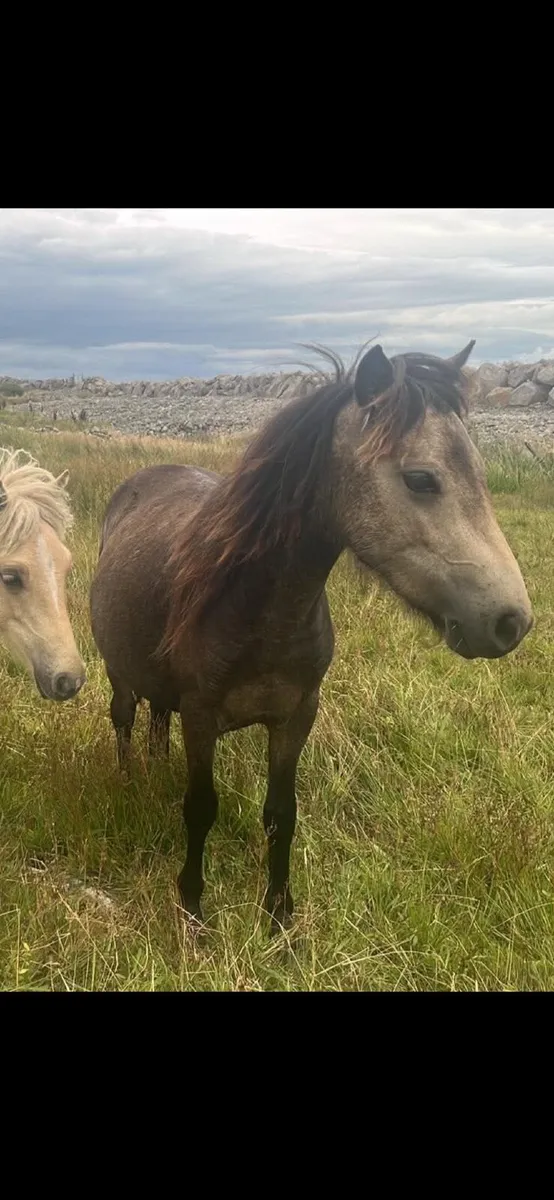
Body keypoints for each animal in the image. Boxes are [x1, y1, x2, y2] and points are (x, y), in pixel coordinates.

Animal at [90, 341, 533, 935]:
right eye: (421, 479)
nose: (512, 621)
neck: (258, 611)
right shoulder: (201, 717)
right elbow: (201, 809)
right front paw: (193, 912)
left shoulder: (297, 715)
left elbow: (282, 814)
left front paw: (279, 916)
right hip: (119, 676)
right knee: (125, 719)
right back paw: (129, 781)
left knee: (158, 720)